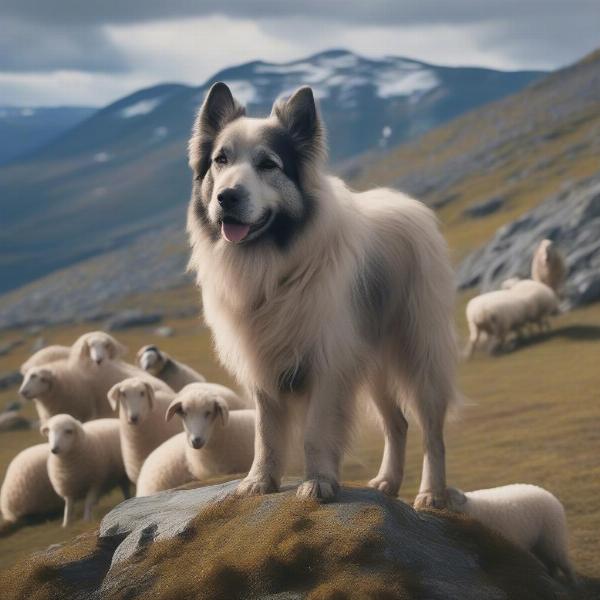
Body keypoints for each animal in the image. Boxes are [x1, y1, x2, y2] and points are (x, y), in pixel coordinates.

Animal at [188, 82, 460, 508]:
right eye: (220, 159)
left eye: (268, 164)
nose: (227, 197)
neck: (272, 264)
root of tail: (406, 203)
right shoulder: (263, 363)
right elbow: (266, 434)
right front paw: (259, 481)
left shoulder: (329, 361)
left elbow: (316, 431)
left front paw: (318, 483)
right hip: (372, 361)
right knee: (397, 422)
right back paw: (387, 481)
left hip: (419, 350)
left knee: (432, 428)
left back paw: (432, 493)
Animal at [448, 486, 576, 584]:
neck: (471, 507)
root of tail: (548, 494)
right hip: (542, 542)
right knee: (551, 562)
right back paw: (553, 576)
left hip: (553, 537)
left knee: (563, 563)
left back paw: (572, 583)